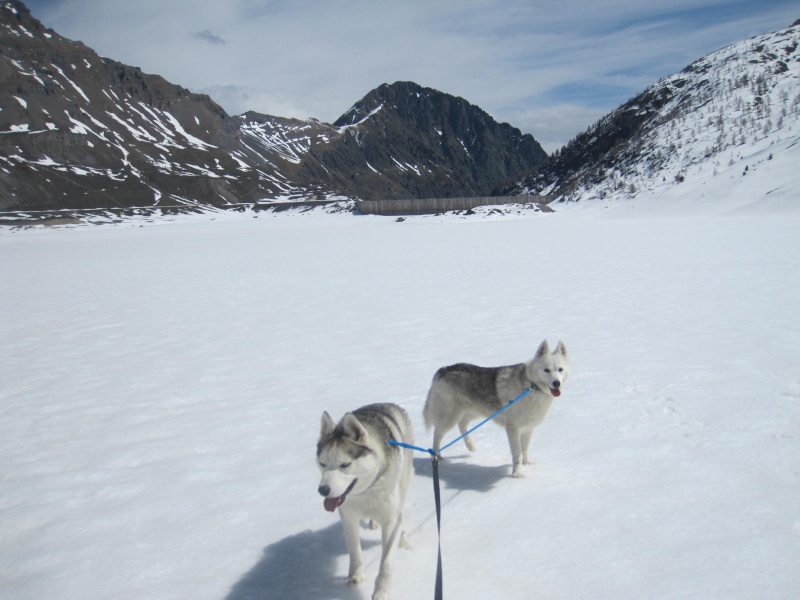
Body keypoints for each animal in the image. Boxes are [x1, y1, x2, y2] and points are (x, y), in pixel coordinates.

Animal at [314, 404, 412, 600]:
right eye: (322, 464)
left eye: (345, 465)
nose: (323, 490)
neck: (366, 491)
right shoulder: (348, 516)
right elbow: (354, 550)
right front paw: (356, 576)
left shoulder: (390, 520)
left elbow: (386, 563)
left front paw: (381, 592)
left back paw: (403, 538)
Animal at [424, 342, 568, 478]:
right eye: (546, 370)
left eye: (560, 369)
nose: (556, 383)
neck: (532, 386)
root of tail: (441, 371)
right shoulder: (513, 428)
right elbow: (517, 453)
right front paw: (517, 474)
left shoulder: (528, 429)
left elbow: (525, 449)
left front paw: (527, 463)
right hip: (449, 417)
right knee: (437, 435)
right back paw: (437, 456)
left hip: (474, 411)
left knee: (462, 424)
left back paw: (470, 445)